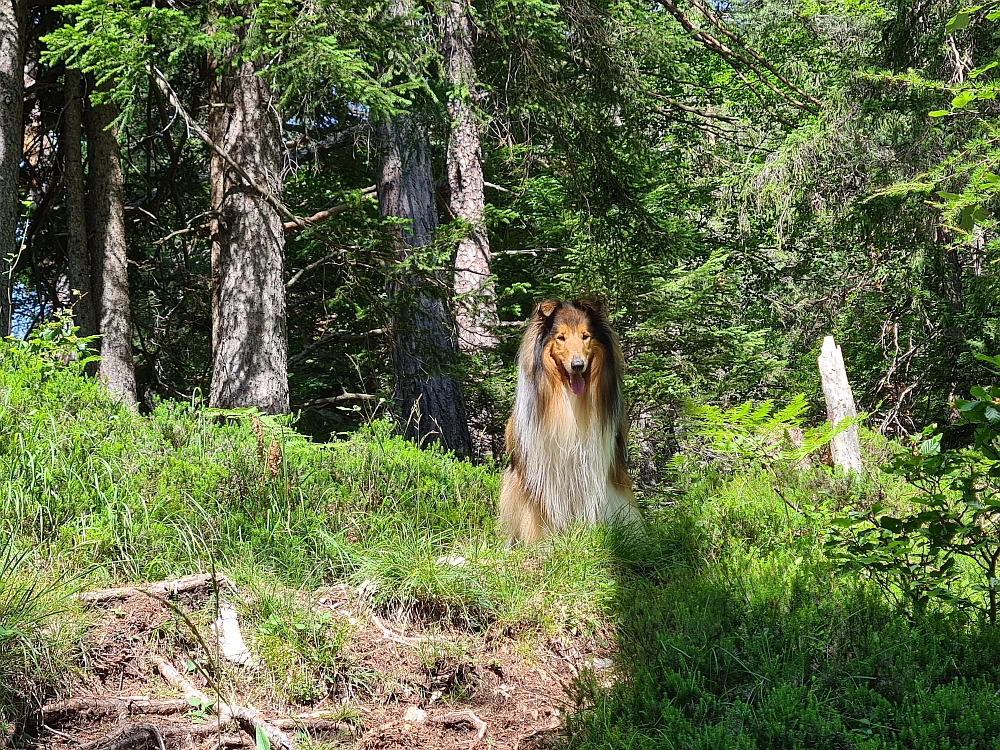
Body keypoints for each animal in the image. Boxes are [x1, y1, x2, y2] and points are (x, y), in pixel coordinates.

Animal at [498, 300, 640, 548]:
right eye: (561, 337)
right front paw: (542, 543)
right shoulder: (540, 469)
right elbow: (538, 510)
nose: (577, 365)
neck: (568, 397)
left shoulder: (596, 462)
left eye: (585, 336)